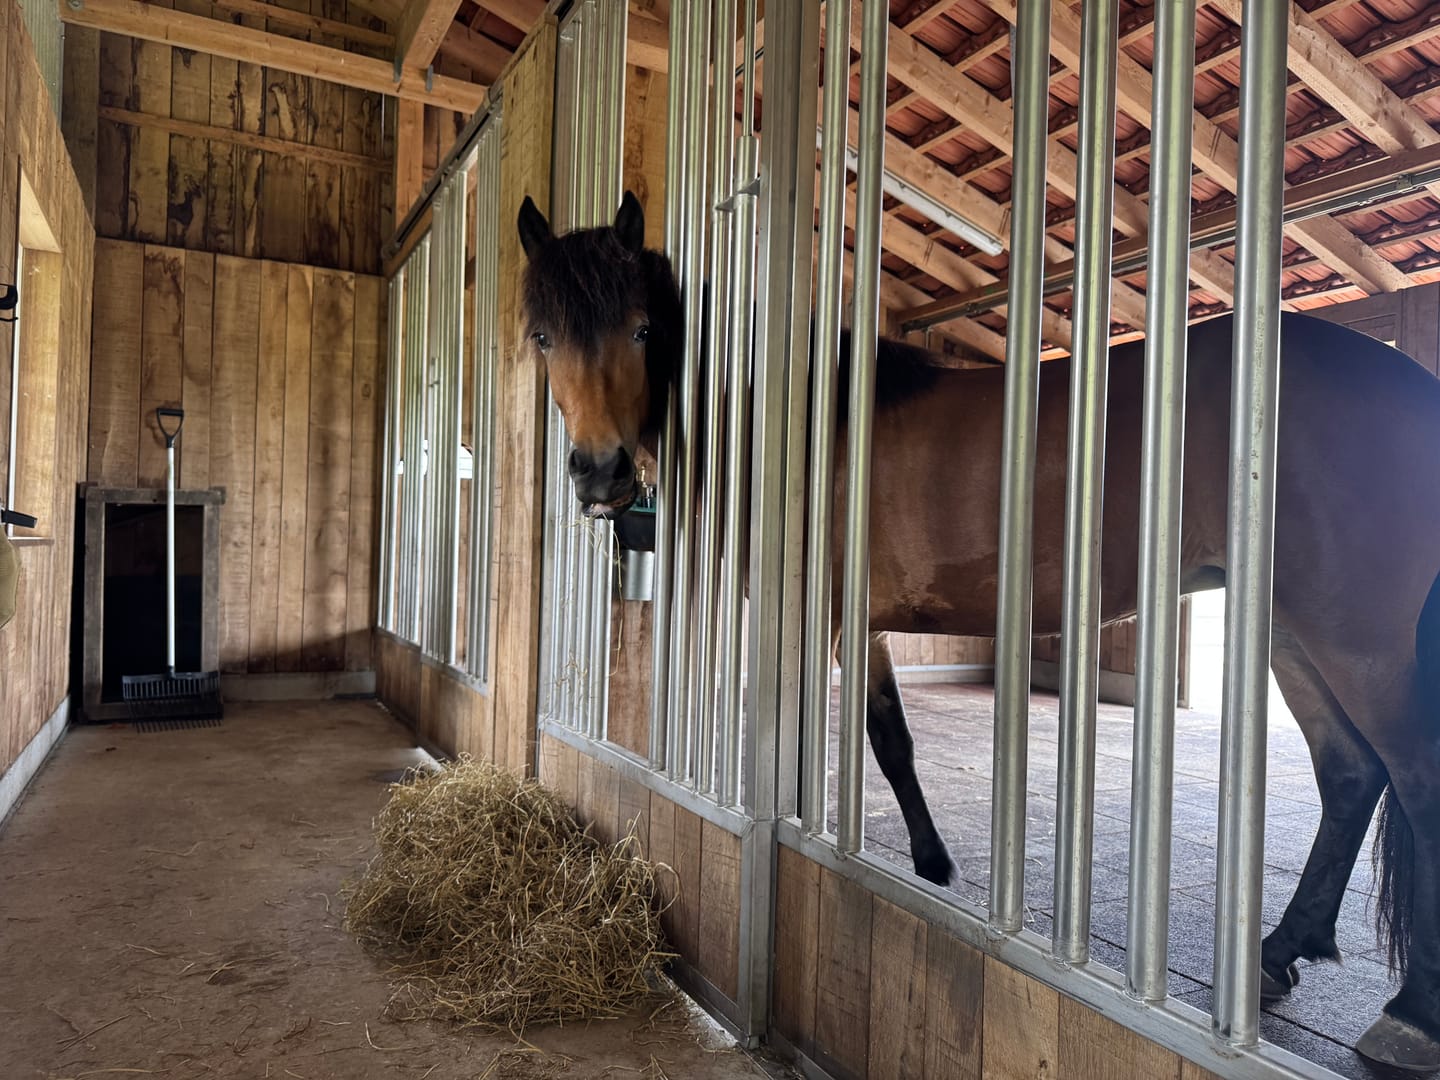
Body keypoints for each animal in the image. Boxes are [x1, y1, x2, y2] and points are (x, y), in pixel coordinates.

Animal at [517, 189, 1440, 1071]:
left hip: (1357, 639)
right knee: (1351, 774)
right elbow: (891, 740)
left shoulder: (811, 620)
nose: (598, 476)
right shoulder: (863, 627)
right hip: (1289, 635)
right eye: (542, 337)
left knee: (1414, 777)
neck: (794, 424)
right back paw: (1280, 951)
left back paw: (1407, 1017)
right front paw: (932, 863)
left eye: (642, 328)